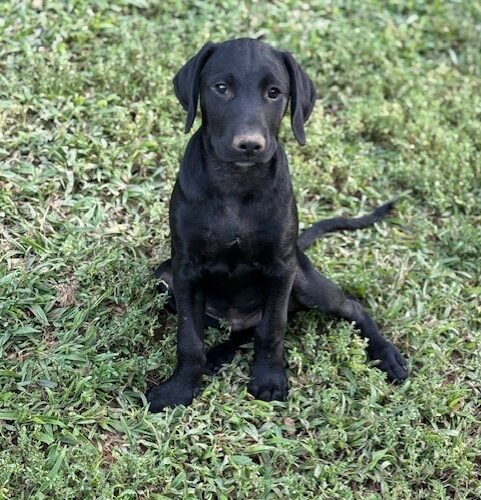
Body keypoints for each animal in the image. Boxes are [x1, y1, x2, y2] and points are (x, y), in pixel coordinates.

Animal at [146, 38, 408, 412]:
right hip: (164, 278)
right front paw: (179, 389)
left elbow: (273, 329)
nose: (249, 145)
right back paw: (216, 356)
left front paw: (269, 380)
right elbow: (189, 337)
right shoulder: (184, 269)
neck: (236, 183)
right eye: (221, 88)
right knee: (239, 332)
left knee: (350, 308)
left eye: (274, 93)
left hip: (303, 280)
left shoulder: (281, 267)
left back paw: (386, 354)